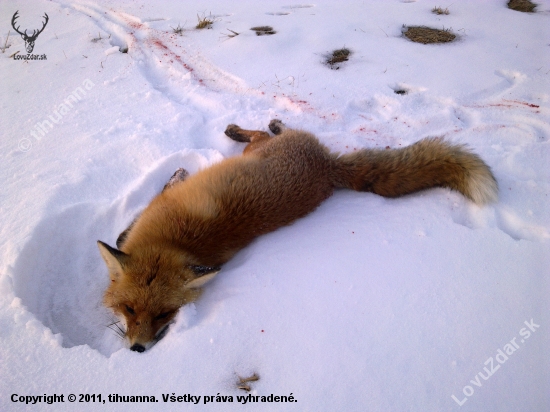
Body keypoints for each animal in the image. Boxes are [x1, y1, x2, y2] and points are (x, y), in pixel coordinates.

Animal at [97, 119, 498, 350]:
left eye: (165, 315)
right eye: (130, 309)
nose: (138, 350)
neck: (174, 243)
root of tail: (328, 167)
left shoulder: (158, 207)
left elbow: (126, 230)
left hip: (255, 149)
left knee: (259, 133)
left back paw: (254, 126)